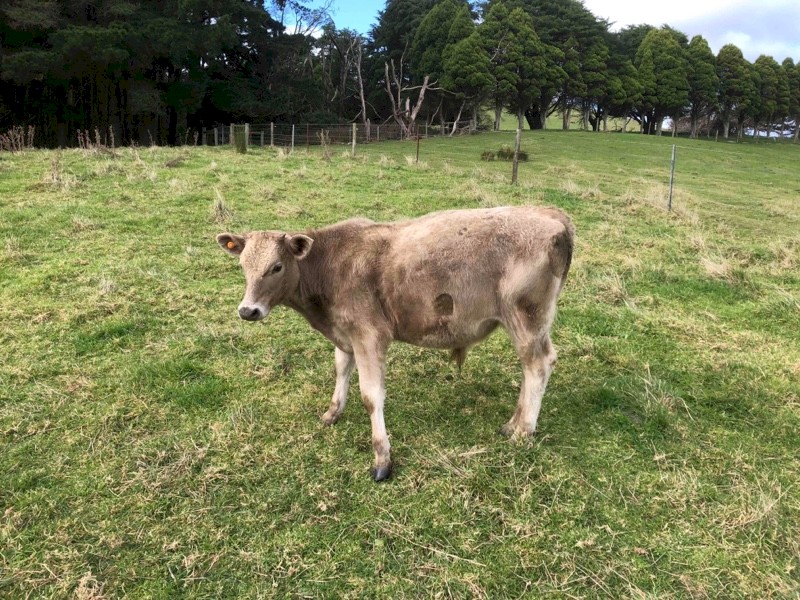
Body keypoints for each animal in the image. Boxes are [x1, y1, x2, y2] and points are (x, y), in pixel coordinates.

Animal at [217, 206, 574, 481]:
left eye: (276, 267)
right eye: (243, 266)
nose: (247, 310)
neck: (331, 264)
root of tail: (550, 213)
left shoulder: (369, 334)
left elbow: (371, 396)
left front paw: (382, 459)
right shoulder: (345, 335)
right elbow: (341, 370)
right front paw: (333, 412)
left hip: (526, 319)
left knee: (538, 365)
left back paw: (523, 431)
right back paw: (512, 423)